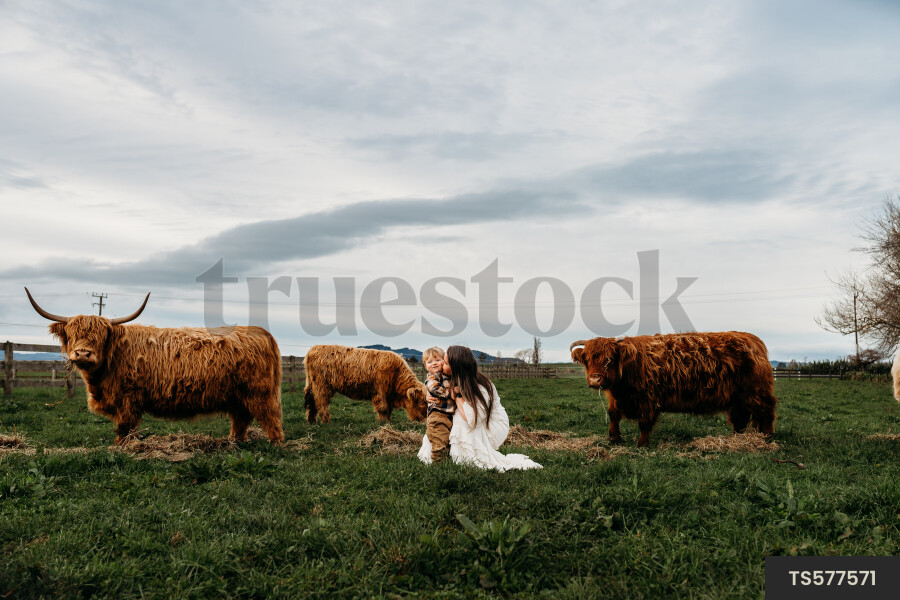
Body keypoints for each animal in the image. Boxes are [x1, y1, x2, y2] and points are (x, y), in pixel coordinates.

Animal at [26, 288, 284, 445]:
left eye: (100, 336)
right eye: (72, 334)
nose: (82, 353)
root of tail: (261, 332)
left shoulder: (129, 398)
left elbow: (125, 427)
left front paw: (121, 448)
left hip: (260, 393)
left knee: (271, 419)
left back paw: (276, 445)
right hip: (238, 396)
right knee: (240, 420)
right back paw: (233, 443)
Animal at [570, 332, 777, 447]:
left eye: (610, 359)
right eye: (587, 359)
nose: (595, 380)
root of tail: (753, 340)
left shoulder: (648, 400)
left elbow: (644, 424)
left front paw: (642, 445)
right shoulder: (616, 399)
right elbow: (613, 415)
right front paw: (614, 439)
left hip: (755, 392)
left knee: (767, 412)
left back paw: (766, 438)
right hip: (738, 398)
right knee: (740, 420)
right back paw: (738, 439)